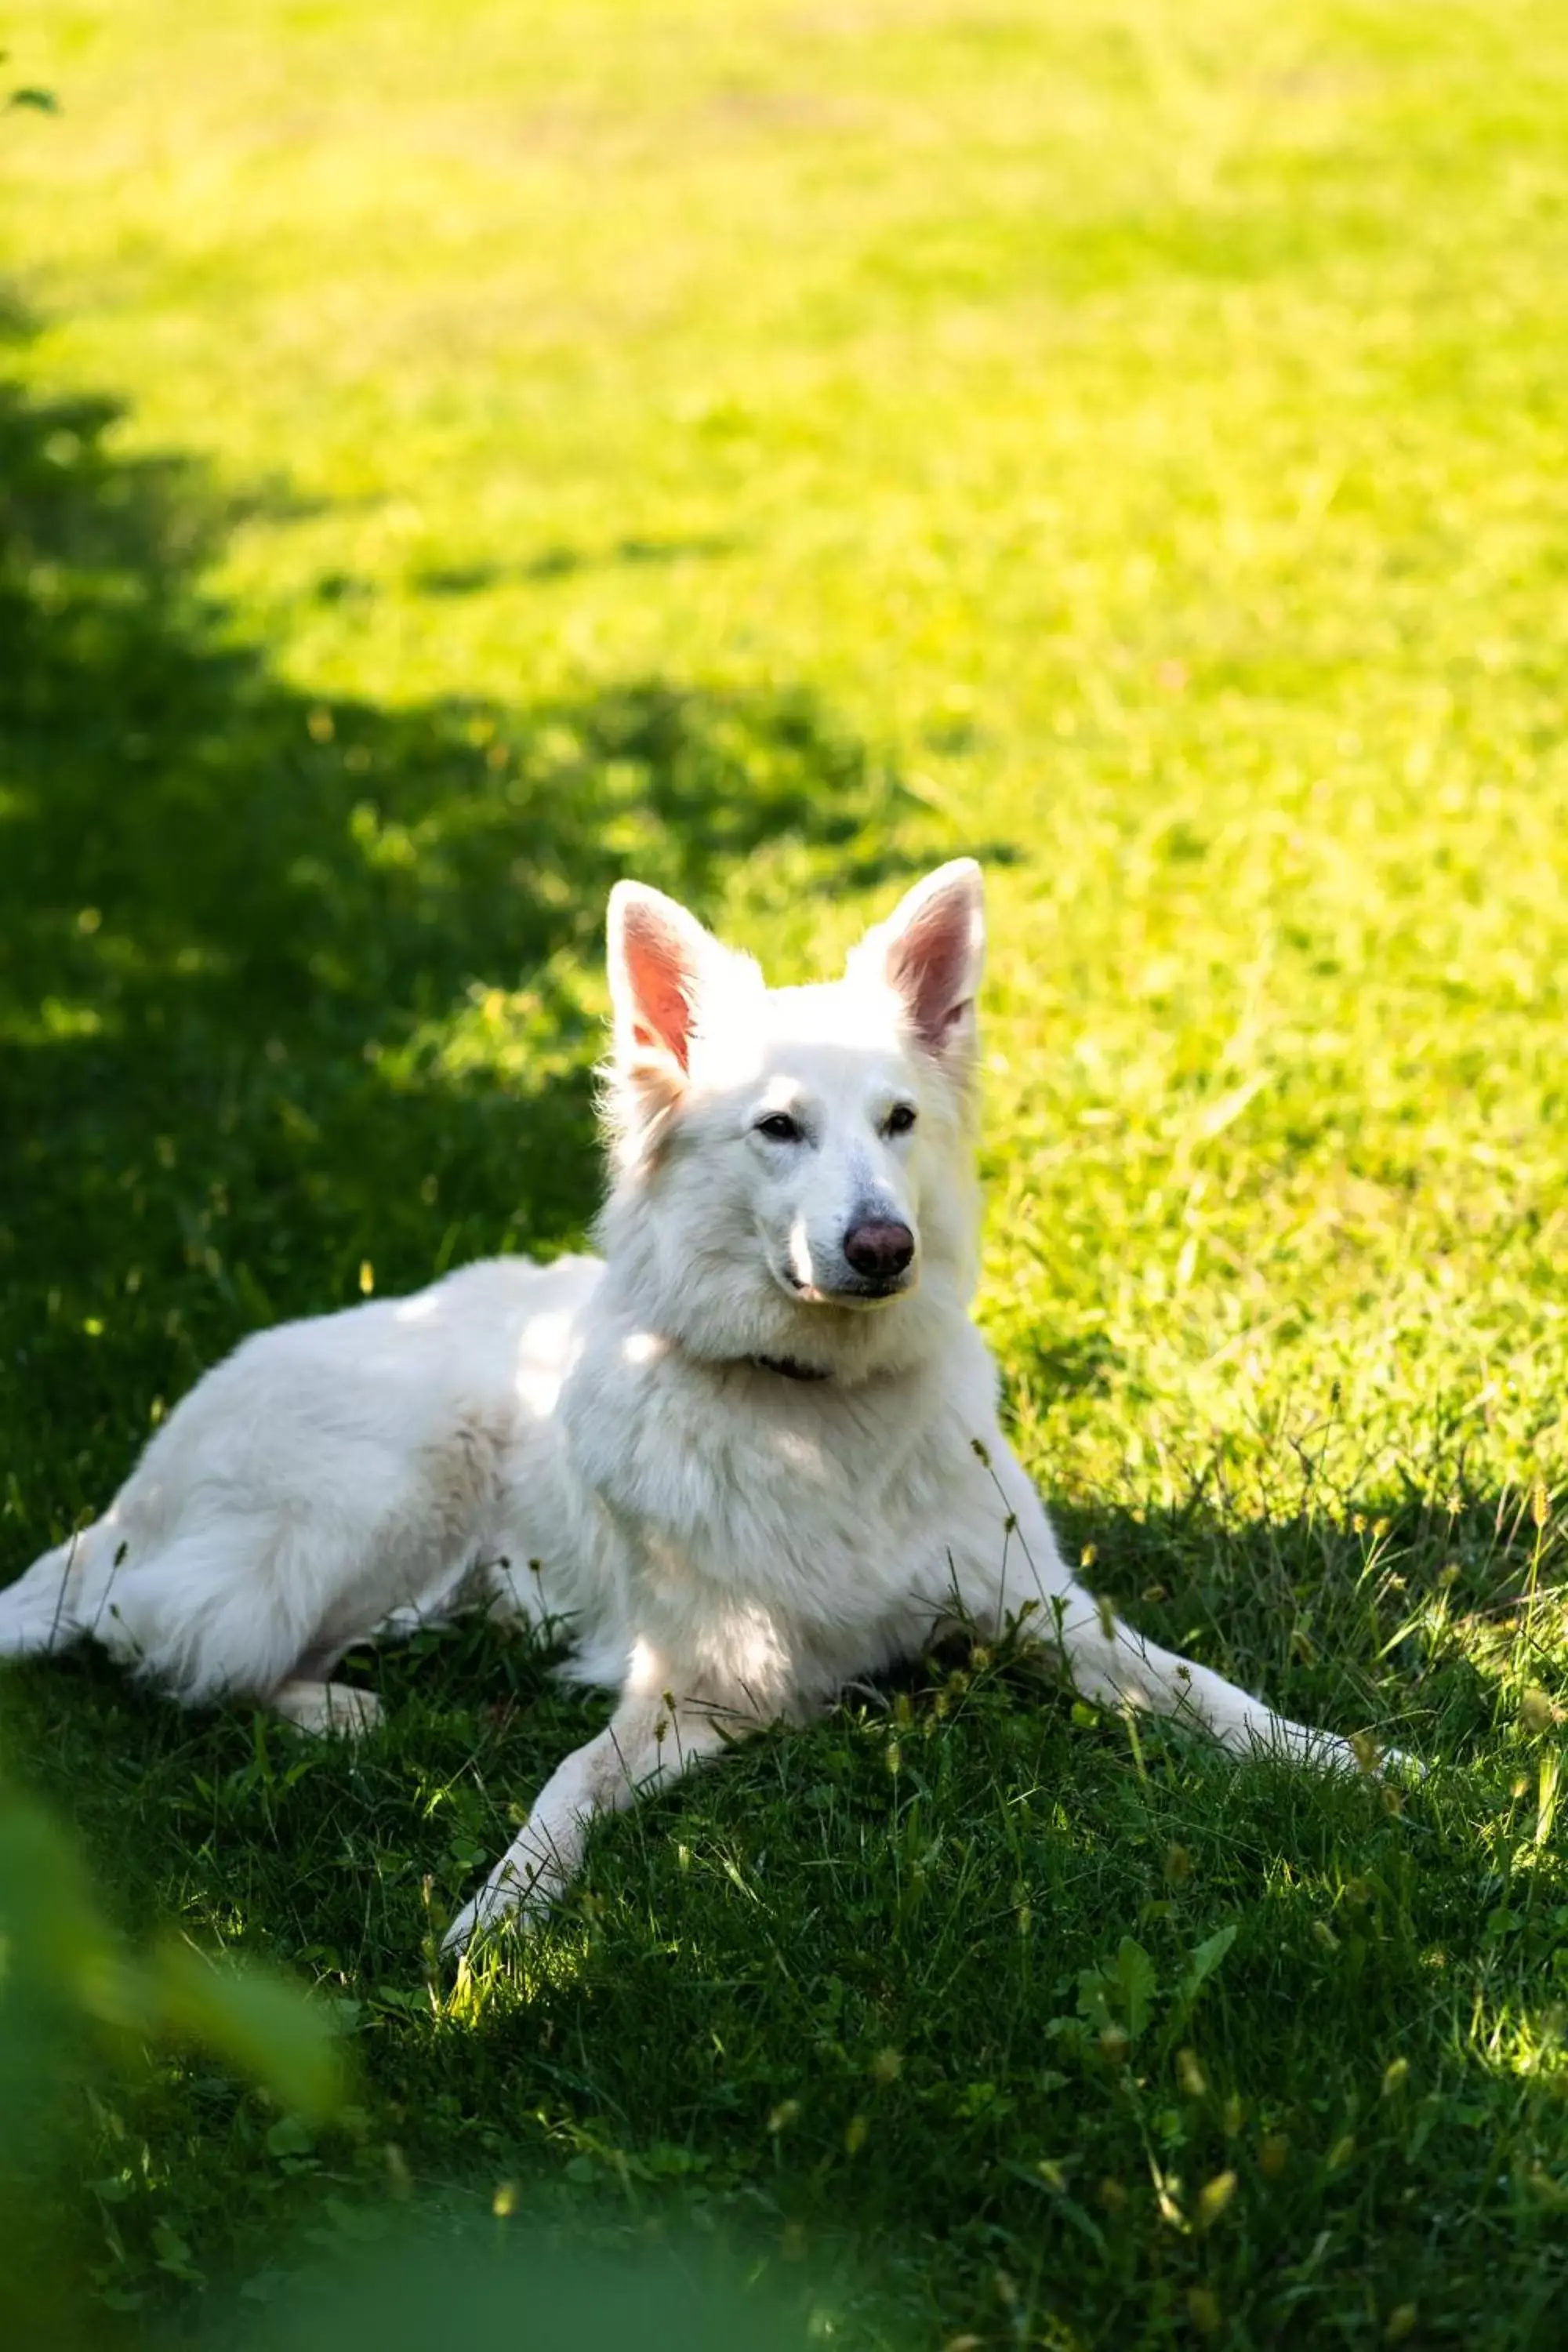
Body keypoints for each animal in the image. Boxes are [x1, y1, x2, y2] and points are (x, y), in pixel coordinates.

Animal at [0, 866, 1382, 1947]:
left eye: (899, 1121)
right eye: (778, 1129)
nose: (883, 1248)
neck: (815, 1411)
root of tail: (138, 1484)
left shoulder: (1040, 1609)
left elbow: (1205, 1687)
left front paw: (1357, 1766)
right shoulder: (693, 1688)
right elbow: (562, 1789)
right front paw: (501, 1918)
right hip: (384, 1494)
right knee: (174, 1655)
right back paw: (336, 1711)